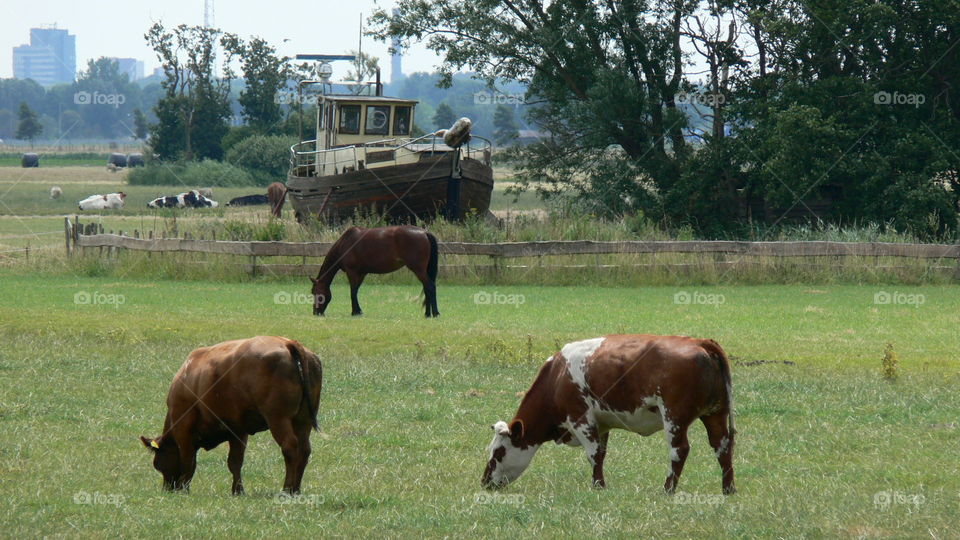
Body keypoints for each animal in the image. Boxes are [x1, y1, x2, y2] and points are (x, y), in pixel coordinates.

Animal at [310, 226, 439, 317]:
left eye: (314, 292)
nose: (315, 312)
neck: (345, 243)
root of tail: (424, 232)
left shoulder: (352, 272)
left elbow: (352, 292)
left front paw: (355, 312)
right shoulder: (361, 273)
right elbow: (356, 291)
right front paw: (358, 311)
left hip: (418, 269)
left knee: (430, 286)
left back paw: (434, 313)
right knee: (427, 288)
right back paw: (428, 314)